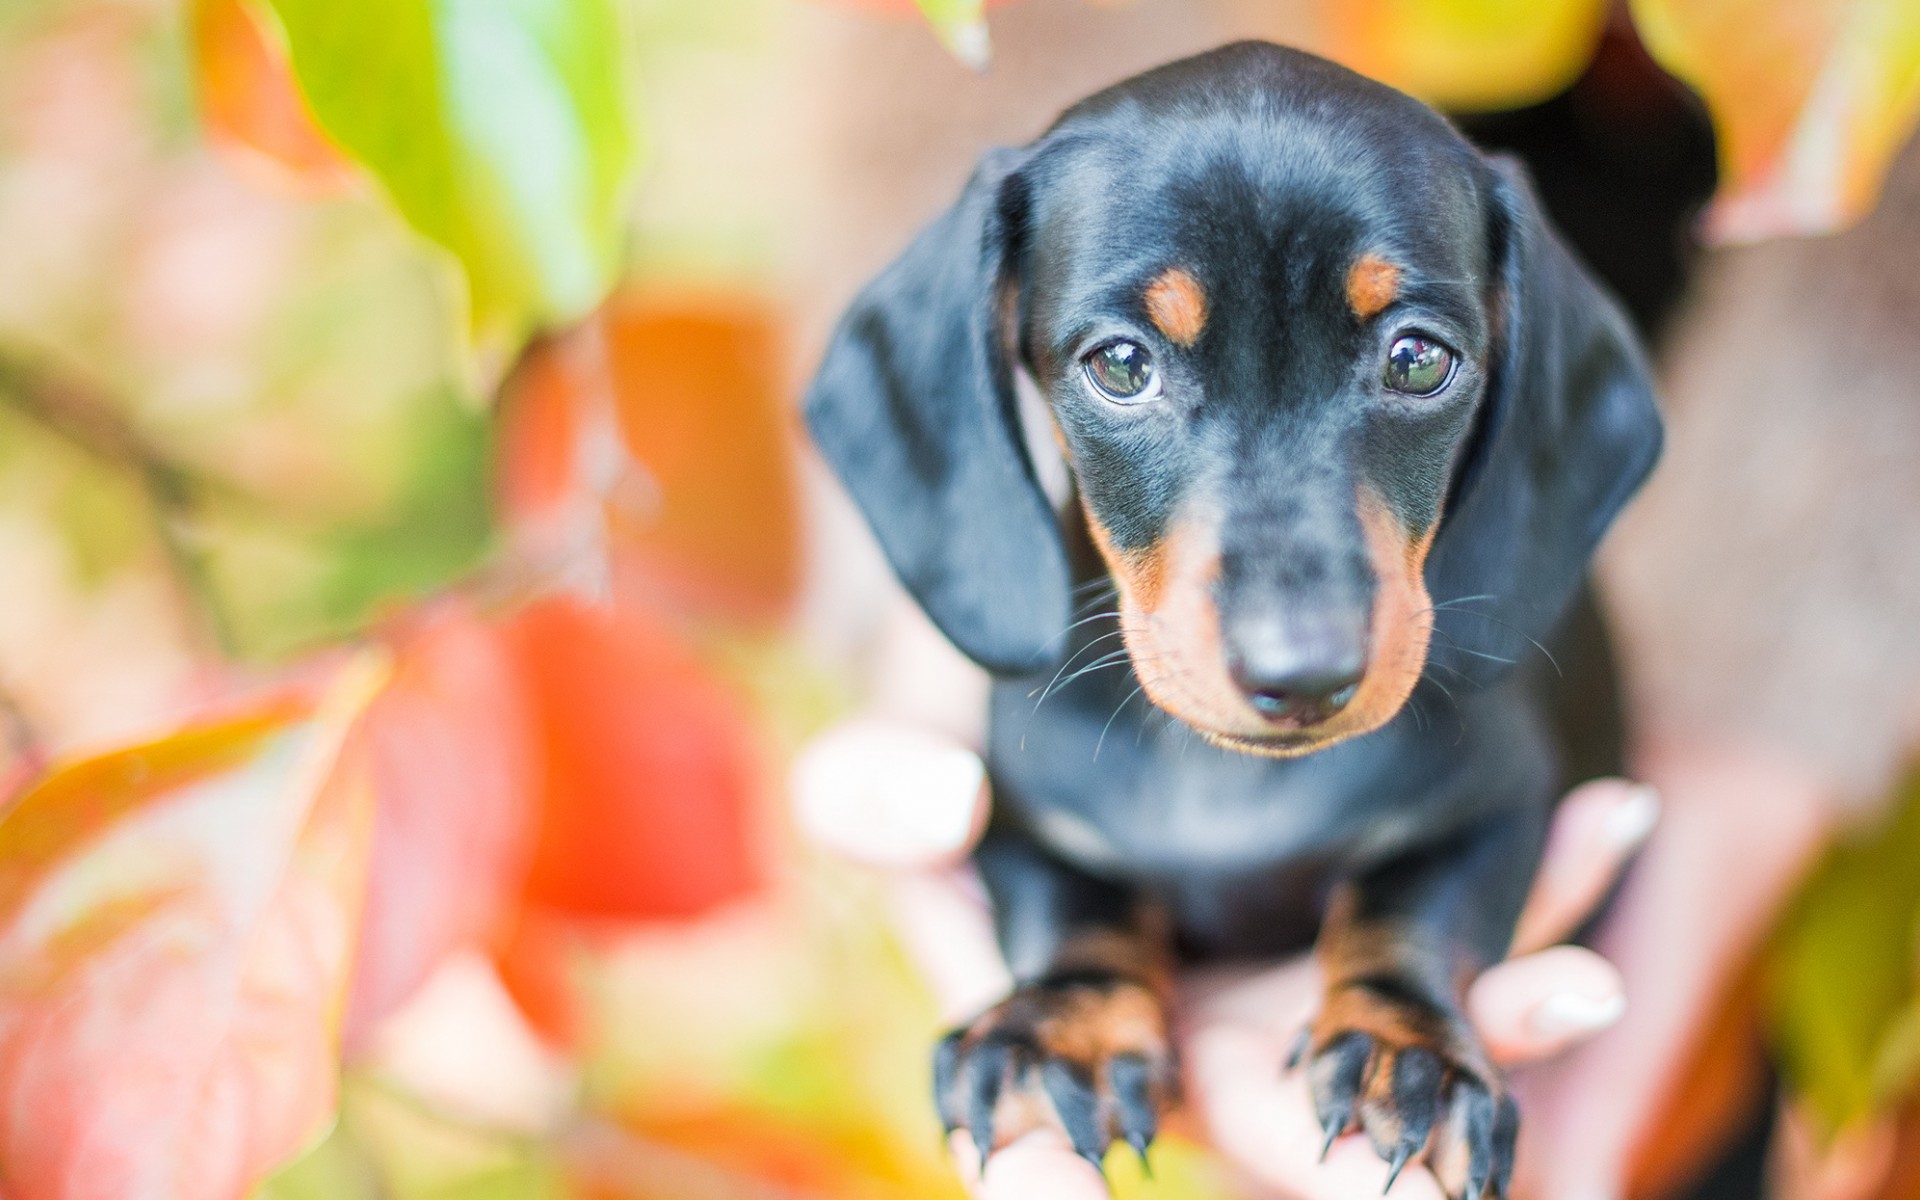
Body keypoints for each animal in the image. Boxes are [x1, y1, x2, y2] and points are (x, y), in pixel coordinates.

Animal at [802, 39, 1658, 1198]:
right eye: (1121, 364)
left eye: (1418, 358)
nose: (1304, 675)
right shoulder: (1024, 813)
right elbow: (1072, 905)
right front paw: (1061, 1025)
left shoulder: (1496, 802)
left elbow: (1415, 906)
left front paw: (1404, 1045)